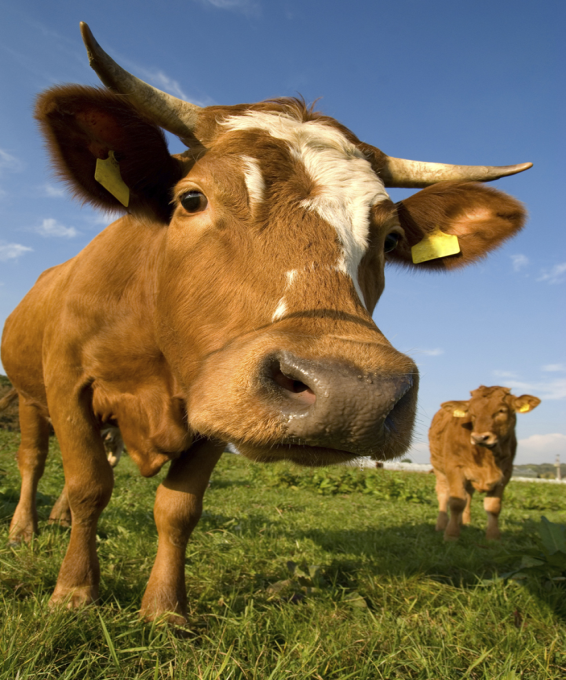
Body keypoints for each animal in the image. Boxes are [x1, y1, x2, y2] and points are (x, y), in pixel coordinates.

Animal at [0, 23, 532, 624]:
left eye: (392, 237)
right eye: (191, 198)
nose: (355, 393)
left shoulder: (213, 402)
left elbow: (178, 507)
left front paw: (165, 612)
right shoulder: (70, 385)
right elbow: (90, 484)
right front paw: (74, 592)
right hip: (30, 396)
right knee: (33, 460)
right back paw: (25, 528)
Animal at [432, 386, 544, 540]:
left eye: (501, 410)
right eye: (472, 413)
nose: (479, 437)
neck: (487, 458)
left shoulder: (506, 473)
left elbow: (493, 506)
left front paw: (493, 536)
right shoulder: (454, 467)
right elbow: (456, 502)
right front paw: (451, 534)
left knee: (468, 495)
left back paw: (464, 523)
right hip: (438, 467)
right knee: (443, 493)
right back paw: (442, 524)